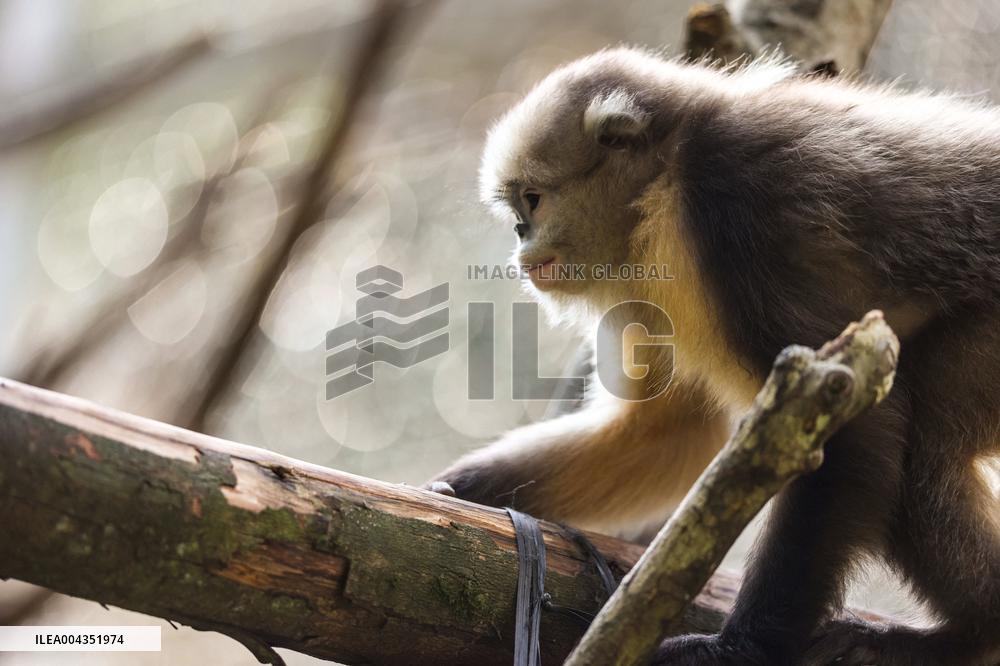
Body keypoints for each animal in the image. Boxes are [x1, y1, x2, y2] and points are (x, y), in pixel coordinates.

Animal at [428, 47, 1000, 665]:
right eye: (517, 208)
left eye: (532, 200)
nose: (519, 233)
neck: (669, 177)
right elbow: (665, 432)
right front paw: (455, 491)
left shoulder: (741, 202)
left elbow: (854, 426)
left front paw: (740, 649)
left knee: (924, 449)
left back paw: (971, 634)